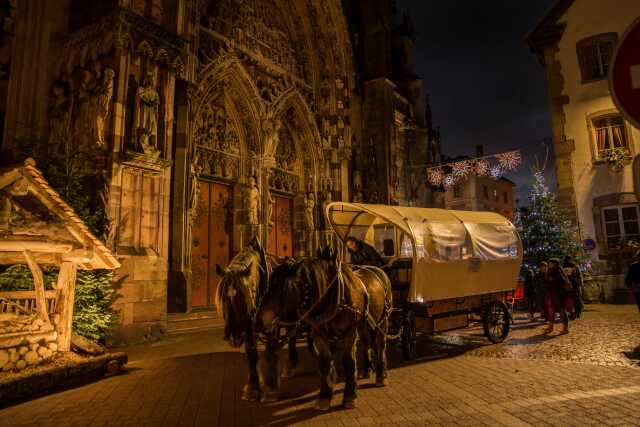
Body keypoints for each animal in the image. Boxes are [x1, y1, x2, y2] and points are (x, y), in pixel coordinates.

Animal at [215, 239, 304, 402]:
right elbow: (251, 354)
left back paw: (290, 366)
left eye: (242, 299)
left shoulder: (272, 325)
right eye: (223, 298)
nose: (233, 337)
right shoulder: (249, 327)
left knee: (292, 337)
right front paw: (253, 388)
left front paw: (271, 387)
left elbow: (270, 351)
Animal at [255, 247, 390, 412]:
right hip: (364, 325)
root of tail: (378, 270)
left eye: (283, 286)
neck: (335, 295)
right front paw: (324, 397)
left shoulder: (349, 333)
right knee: (366, 343)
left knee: (381, 345)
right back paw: (366, 370)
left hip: (383, 321)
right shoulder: (320, 334)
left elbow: (349, 362)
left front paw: (350, 397)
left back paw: (381, 376)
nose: (259, 320)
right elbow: (325, 362)